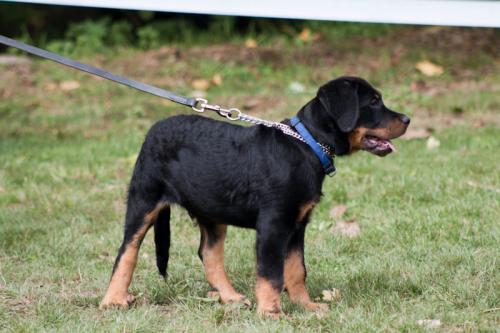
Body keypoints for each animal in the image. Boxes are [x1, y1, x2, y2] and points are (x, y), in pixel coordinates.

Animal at [100, 75, 410, 316]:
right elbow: (271, 272)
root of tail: (153, 130)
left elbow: (296, 269)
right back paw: (113, 300)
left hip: (212, 209)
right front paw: (272, 312)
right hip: (145, 197)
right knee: (127, 250)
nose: (407, 119)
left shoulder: (298, 224)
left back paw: (231, 298)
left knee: (209, 255)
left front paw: (306, 306)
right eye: (373, 101)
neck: (307, 145)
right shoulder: (274, 223)